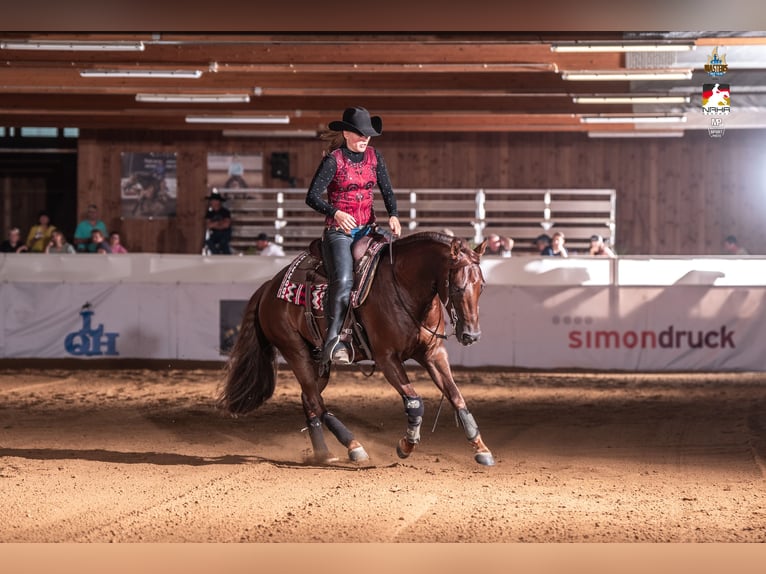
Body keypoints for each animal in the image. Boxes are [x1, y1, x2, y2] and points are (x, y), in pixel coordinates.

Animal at [219, 232, 496, 466]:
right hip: (294, 351)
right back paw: (354, 446)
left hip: (319, 361)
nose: (471, 334)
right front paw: (406, 445)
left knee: (309, 399)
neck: (404, 286)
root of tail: (268, 286)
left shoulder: (433, 353)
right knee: (316, 401)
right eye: (458, 286)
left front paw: (481, 449)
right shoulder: (387, 359)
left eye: (482, 286)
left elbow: (456, 396)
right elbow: (415, 402)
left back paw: (324, 453)